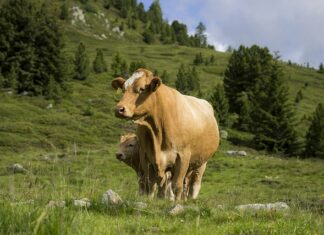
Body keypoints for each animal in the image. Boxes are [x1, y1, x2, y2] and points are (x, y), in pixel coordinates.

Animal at [112, 68, 220, 200]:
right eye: (123, 89)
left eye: (142, 89)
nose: (119, 109)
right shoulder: (146, 157)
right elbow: (151, 185)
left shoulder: (183, 156)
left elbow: (176, 186)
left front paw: (175, 202)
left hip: (202, 162)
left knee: (194, 185)